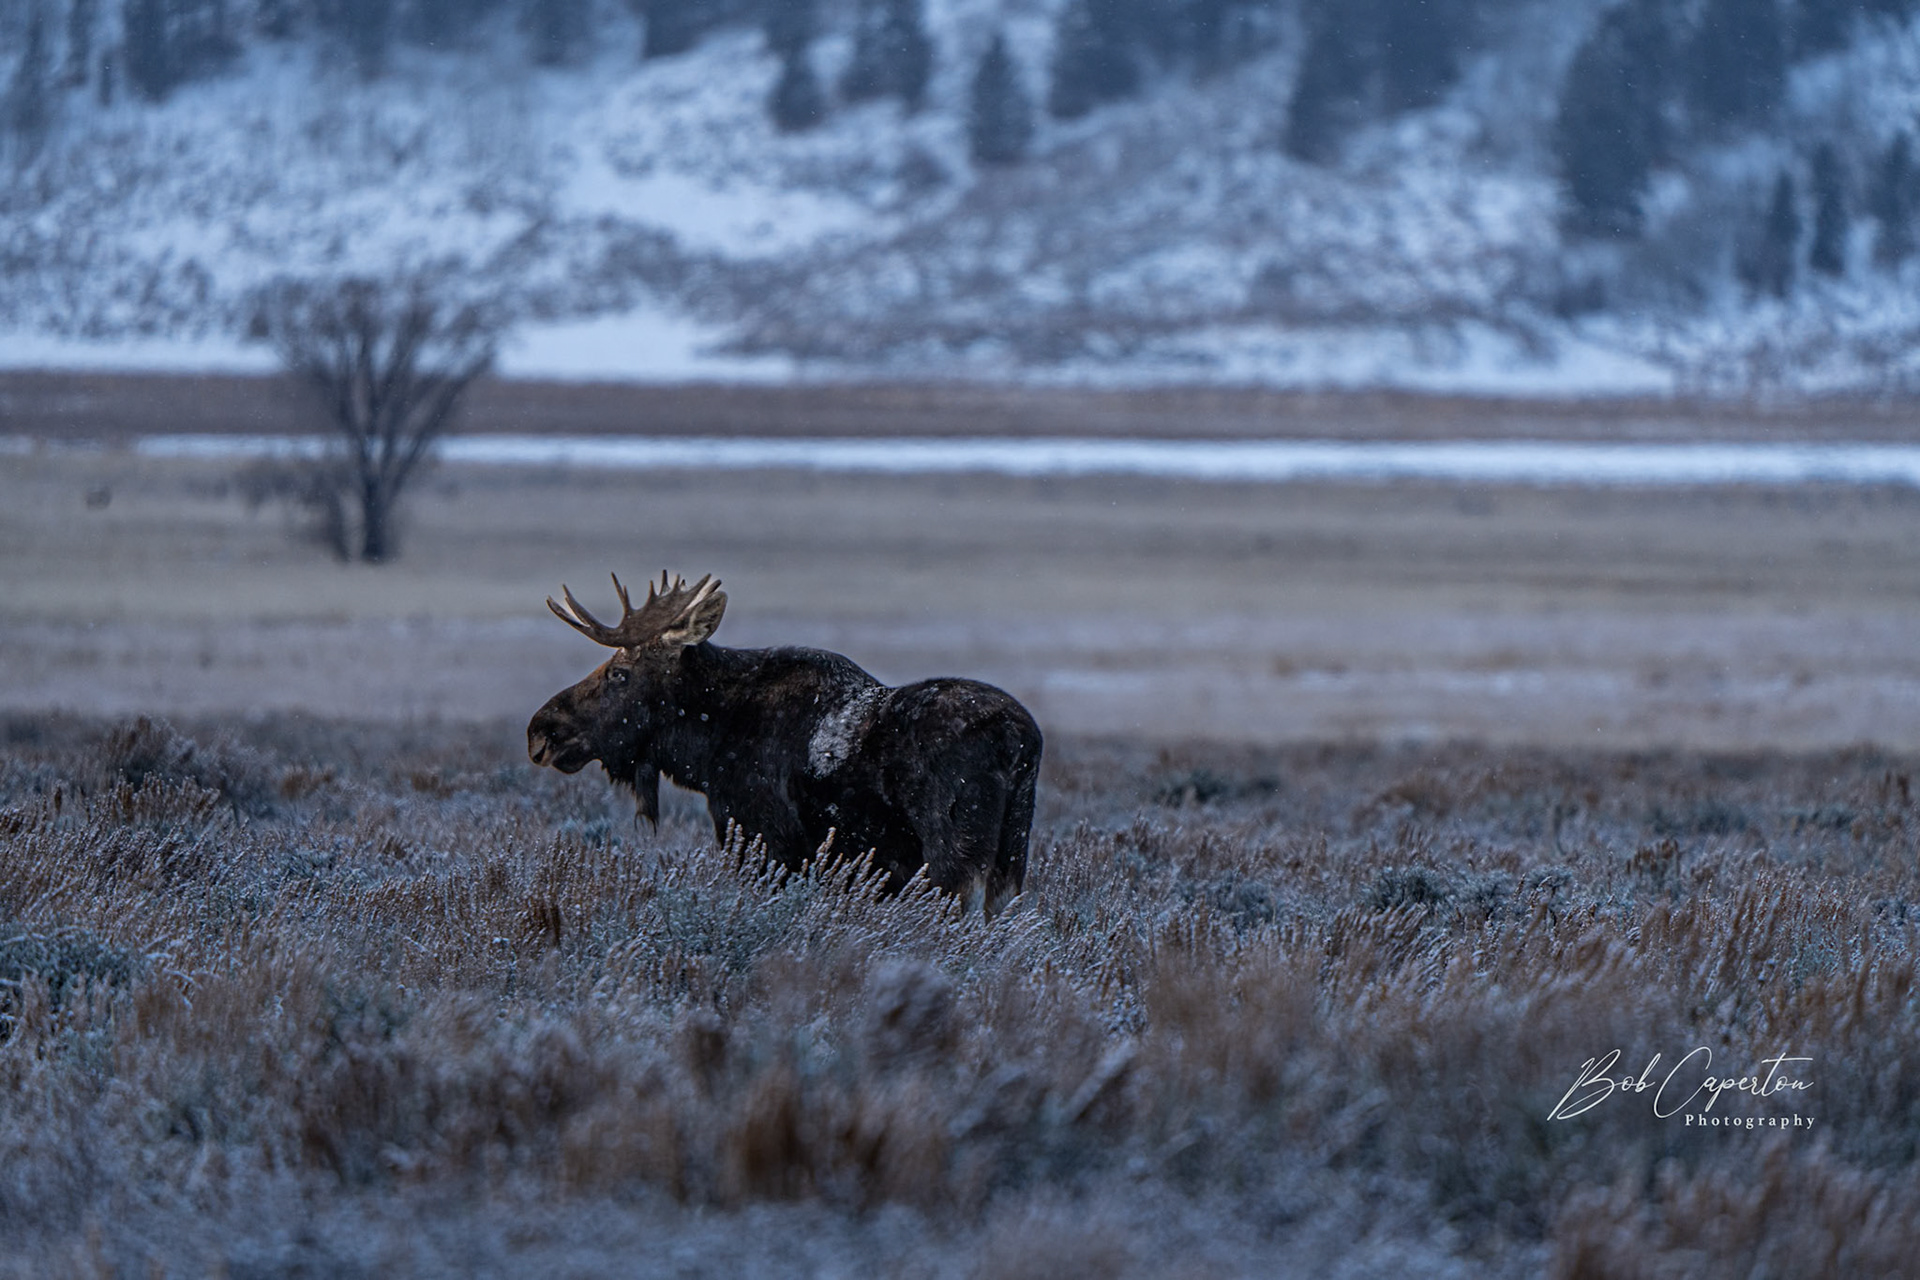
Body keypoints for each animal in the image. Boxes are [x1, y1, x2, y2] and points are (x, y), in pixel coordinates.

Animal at [526, 572, 1042, 914]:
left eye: (619, 673)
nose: (540, 731)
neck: (708, 746)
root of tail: (1020, 739)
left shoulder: (766, 841)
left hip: (954, 857)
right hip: (1010, 858)